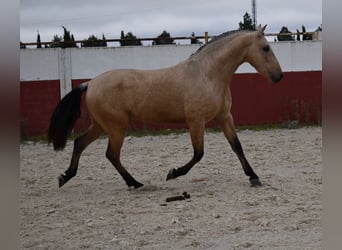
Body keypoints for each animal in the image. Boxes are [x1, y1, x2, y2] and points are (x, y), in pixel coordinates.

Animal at [48, 24, 284, 189]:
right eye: (265, 48)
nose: (279, 76)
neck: (207, 74)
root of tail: (90, 83)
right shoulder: (196, 121)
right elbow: (198, 154)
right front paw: (173, 173)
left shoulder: (225, 116)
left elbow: (237, 146)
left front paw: (254, 177)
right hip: (116, 127)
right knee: (111, 155)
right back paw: (135, 183)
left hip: (101, 125)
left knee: (80, 143)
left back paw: (65, 176)